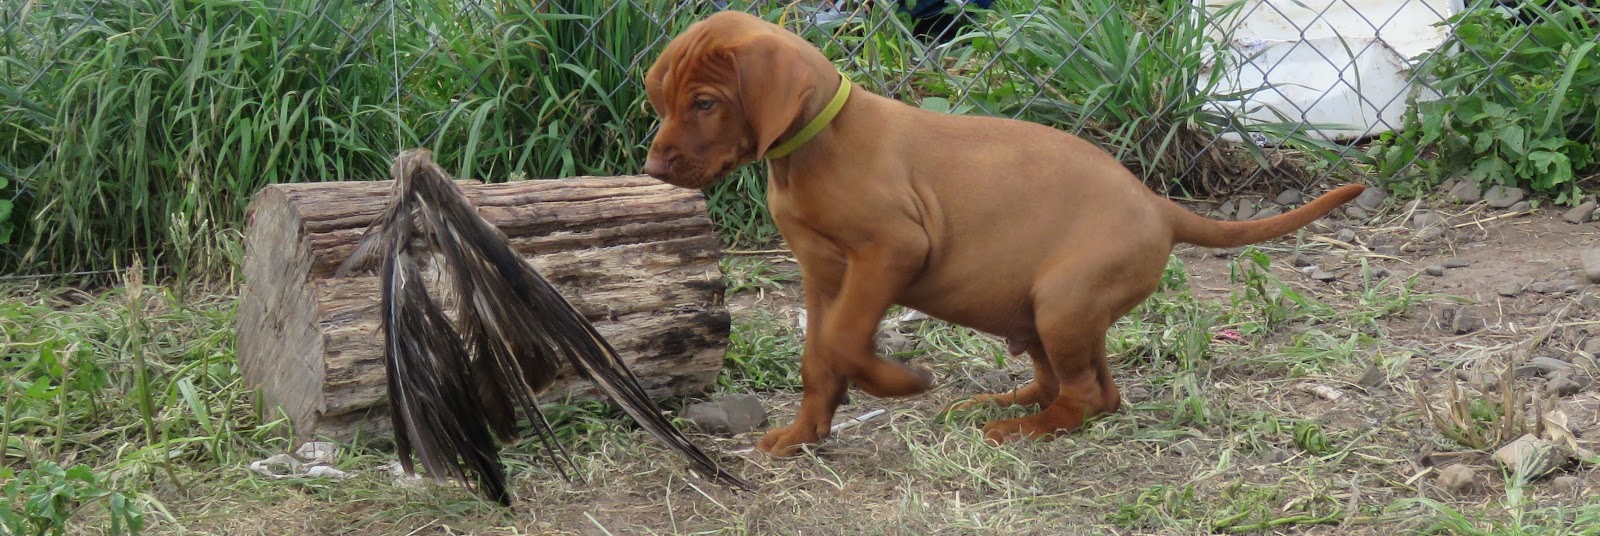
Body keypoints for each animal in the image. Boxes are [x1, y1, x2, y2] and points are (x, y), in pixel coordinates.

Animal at [641, 11, 1365, 457]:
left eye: (705, 102)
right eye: (666, 101)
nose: (652, 169)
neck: (815, 146)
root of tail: (1158, 207)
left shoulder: (892, 250)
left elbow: (846, 342)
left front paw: (899, 383)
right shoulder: (822, 275)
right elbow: (819, 357)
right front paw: (805, 432)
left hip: (1063, 300)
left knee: (1088, 395)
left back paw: (1019, 426)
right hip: (1044, 309)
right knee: (1095, 389)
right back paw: (1002, 401)